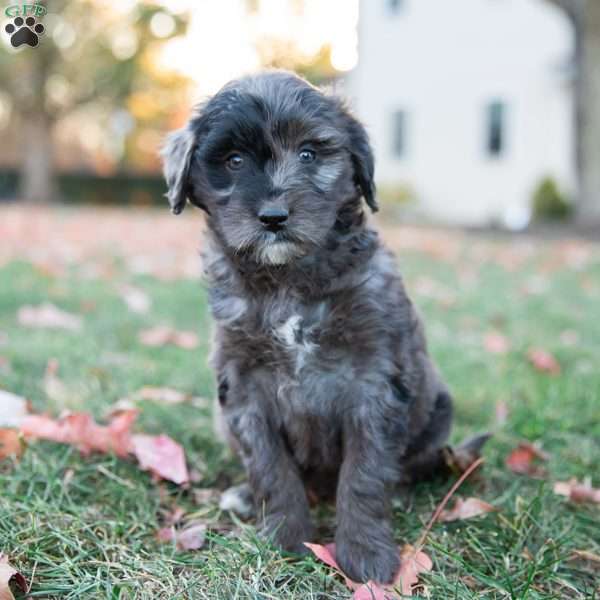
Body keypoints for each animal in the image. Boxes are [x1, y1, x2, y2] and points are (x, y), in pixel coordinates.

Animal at [162, 71, 452, 584]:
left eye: (309, 154)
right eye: (233, 161)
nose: (274, 217)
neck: (287, 282)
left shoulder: (374, 381)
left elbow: (364, 473)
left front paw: (366, 554)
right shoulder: (244, 387)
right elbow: (270, 467)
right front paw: (284, 538)